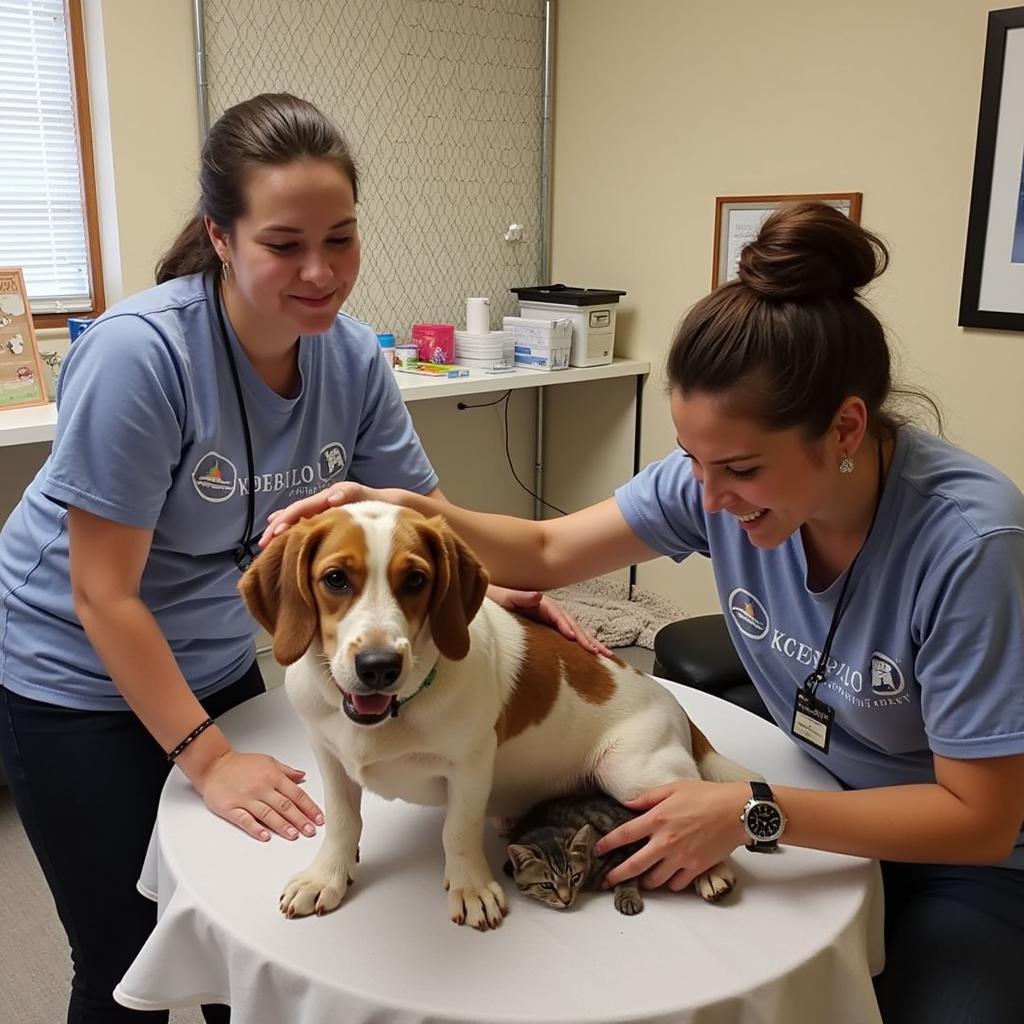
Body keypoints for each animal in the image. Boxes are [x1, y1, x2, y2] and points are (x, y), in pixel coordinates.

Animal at [501, 790, 643, 913]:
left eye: (575, 878)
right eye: (546, 885)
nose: (566, 901)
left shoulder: (623, 850)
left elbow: (625, 876)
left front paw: (628, 897)